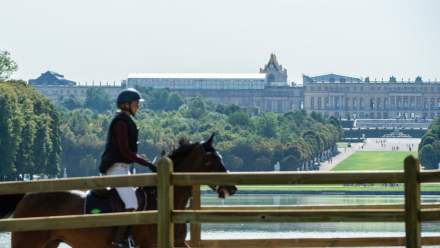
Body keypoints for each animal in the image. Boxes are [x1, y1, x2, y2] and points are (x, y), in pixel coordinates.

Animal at [0, 135, 237, 247]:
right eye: (211, 160)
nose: (232, 188)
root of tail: (27, 196)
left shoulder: (178, 243)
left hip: (49, 243)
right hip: (28, 242)